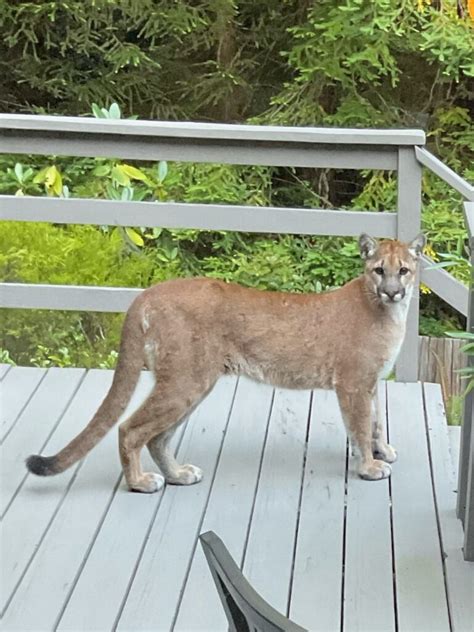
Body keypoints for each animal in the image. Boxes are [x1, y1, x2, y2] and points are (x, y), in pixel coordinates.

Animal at [26, 233, 426, 494]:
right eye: (379, 270)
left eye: (404, 270)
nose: (393, 291)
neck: (387, 311)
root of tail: (147, 294)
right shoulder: (353, 383)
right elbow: (359, 425)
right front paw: (370, 467)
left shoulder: (370, 382)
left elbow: (375, 422)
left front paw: (382, 451)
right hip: (185, 382)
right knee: (130, 429)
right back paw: (141, 482)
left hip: (193, 384)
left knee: (157, 437)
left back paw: (178, 474)